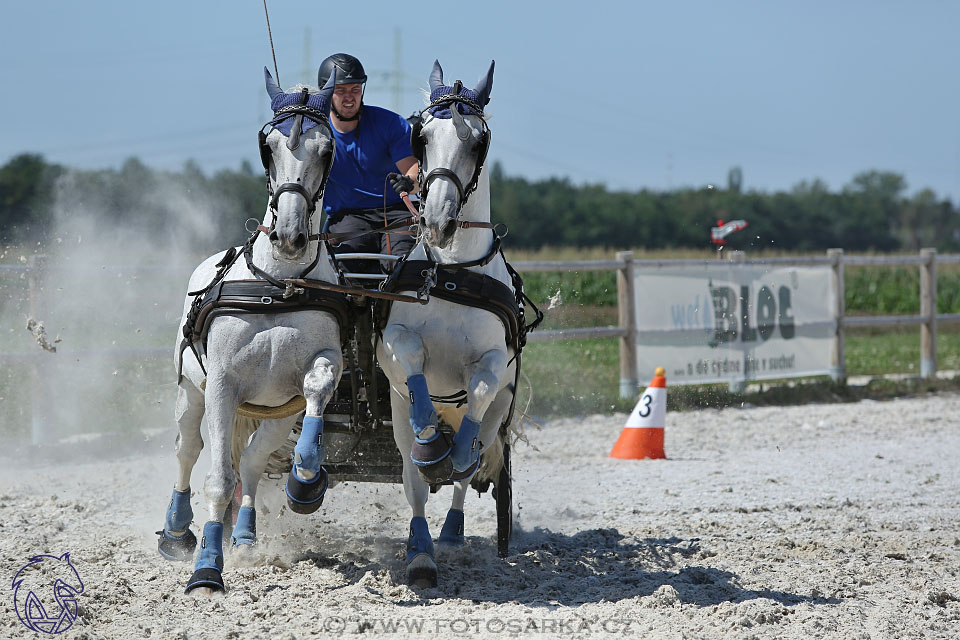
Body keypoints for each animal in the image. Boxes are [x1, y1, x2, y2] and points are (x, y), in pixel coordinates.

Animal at [376, 62, 524, 588]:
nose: (438, 221)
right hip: (395, 419)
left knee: (468, 466)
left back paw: (454, 528)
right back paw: (421, 551)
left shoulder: (497, 362)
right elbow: (412, 362)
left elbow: (478, 390)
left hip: (501, 413)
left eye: (478, 142)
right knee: (414, 482)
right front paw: (430, 441)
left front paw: (457, 455)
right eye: (421, 136)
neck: (454, 271)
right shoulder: (391, 346)